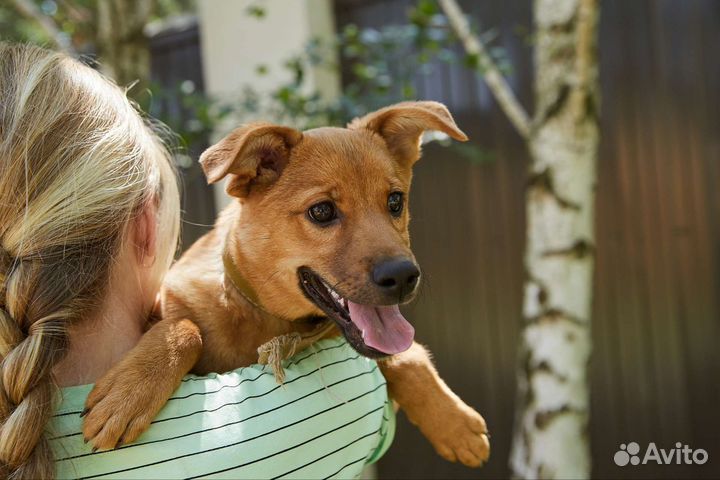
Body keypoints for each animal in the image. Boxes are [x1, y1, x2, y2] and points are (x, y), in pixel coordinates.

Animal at [83, 100, 490, 464]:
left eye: (395, 201)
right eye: (322, 211)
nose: (404, 276)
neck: (262, 318)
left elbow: (404, 353)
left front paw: (453, 423)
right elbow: (185, 328)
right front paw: (130, 391)